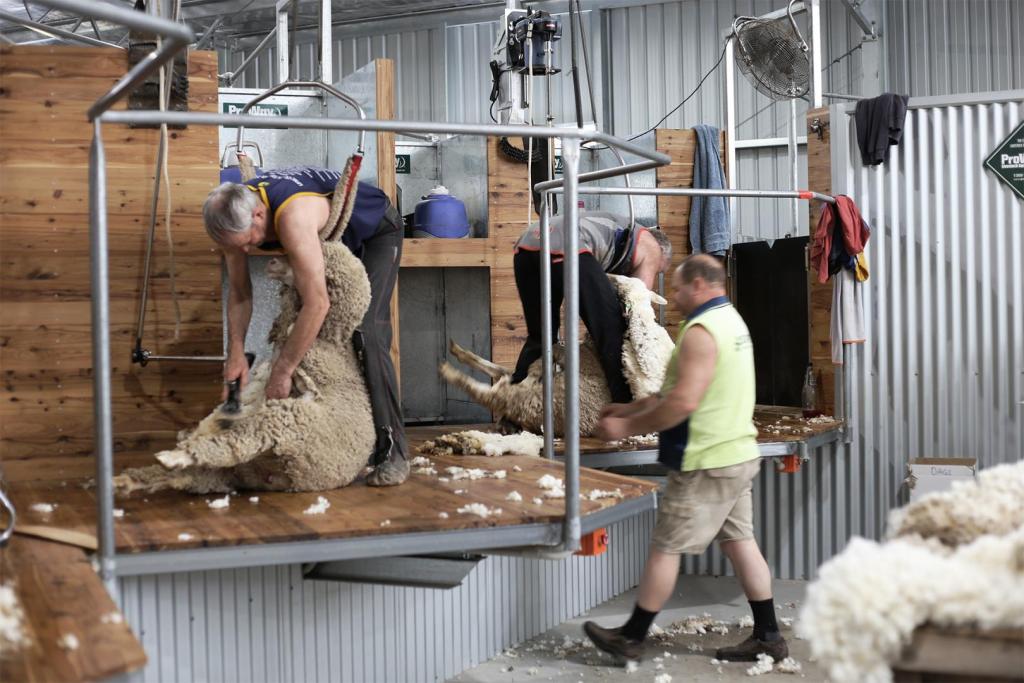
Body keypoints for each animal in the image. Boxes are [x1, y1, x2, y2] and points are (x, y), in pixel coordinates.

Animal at [114, 242, 374, 493]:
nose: (272, 261)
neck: (332, 340)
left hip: (286, 422)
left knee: (233, 444)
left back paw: (174, 456)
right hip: (225, 469)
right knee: (182, 472)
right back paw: (127, 480)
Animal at [438, 274, 671, 438]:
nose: (608, 274)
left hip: (531, 398)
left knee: (493, 393)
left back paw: (450, 371)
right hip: (529, 382)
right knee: (501, 376)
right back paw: (457, 352)